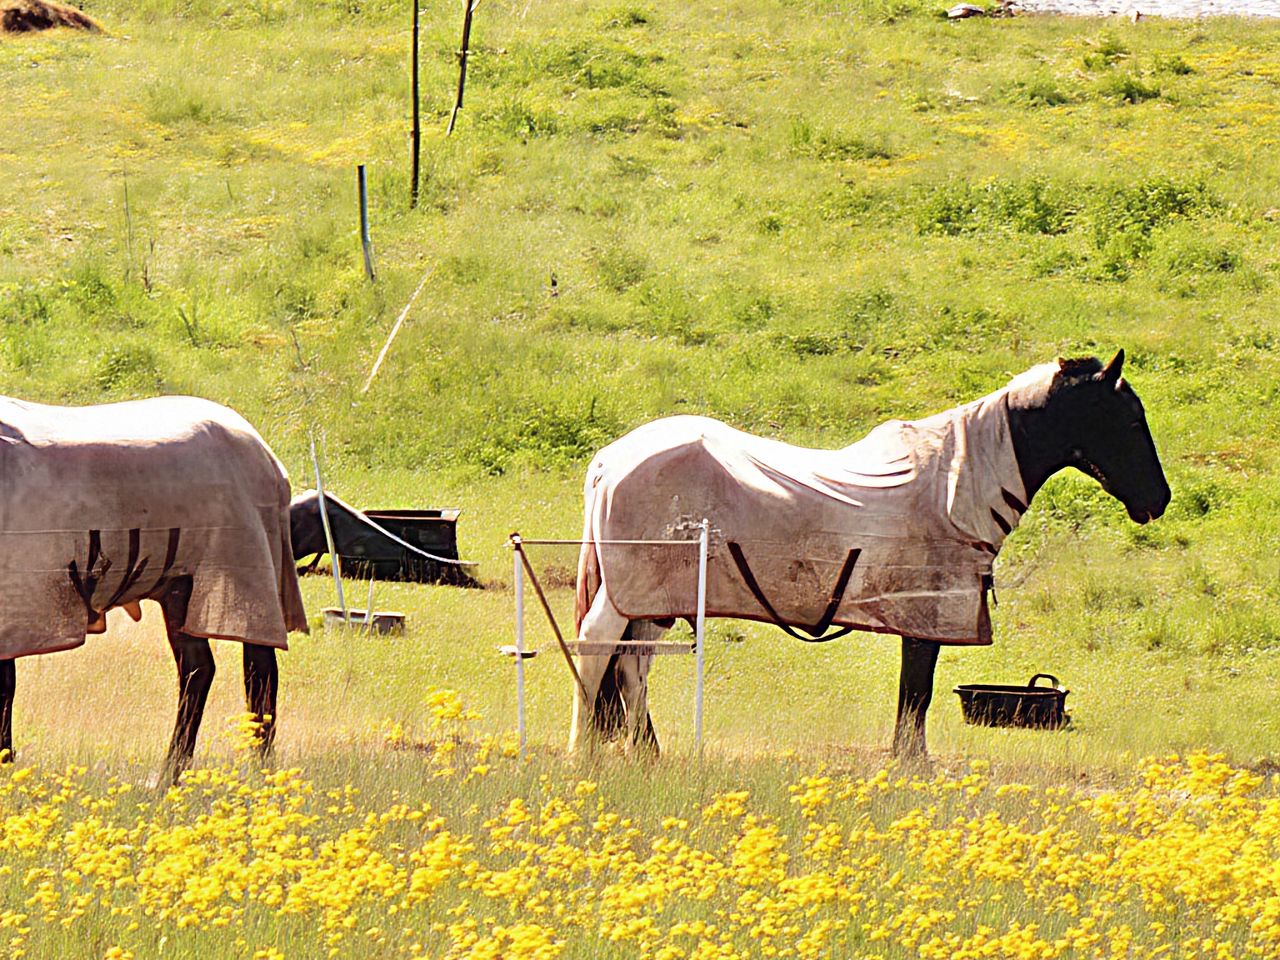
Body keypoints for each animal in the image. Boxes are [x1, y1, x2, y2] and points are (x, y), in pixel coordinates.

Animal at [0, 395, 307, 781]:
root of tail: (267, 458)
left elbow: (3, 690)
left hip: (246, 579)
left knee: (259, 672)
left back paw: (255, 769)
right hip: (179, 588)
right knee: (199, 670)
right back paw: (175, 774)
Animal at [569, 351, 1170, 758]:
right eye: (1129, 419)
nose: (1158, 500)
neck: (957, 480)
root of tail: (610, 459)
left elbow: (913, 696)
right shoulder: (929, 614)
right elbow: (917, 696)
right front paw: (911, 767)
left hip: (653, 599)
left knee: (633, 667)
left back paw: (648, 757)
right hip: (627, 596)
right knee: (598, 649)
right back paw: (584, 756)